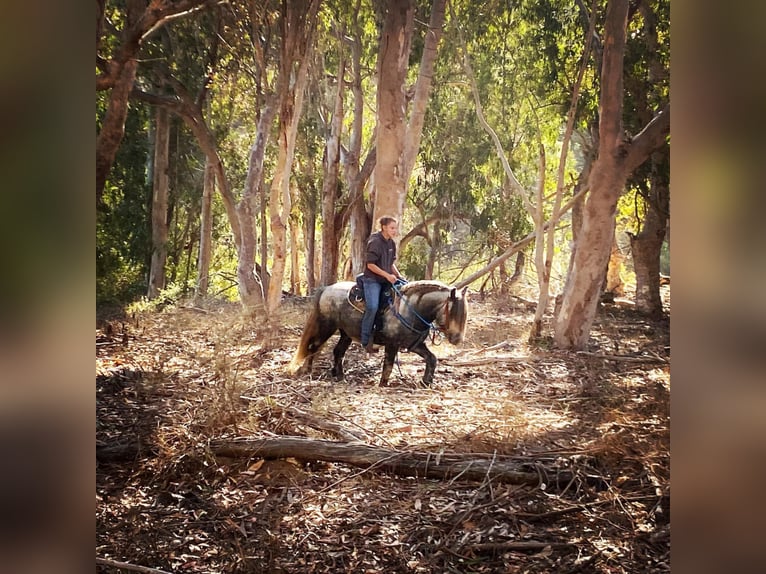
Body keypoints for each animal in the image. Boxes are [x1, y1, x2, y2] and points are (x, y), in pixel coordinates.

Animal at [286, 280, 468, 388]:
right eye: (453, 312)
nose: (457, 339)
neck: (409, 309)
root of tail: (327, 288)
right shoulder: (392, 344)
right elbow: (388, 366)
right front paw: (382, 384)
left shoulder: (415, 345)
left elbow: (432, 358)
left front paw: (426, 382)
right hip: (327, 327)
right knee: (314, 346)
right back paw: (308, 371)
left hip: (346, 333)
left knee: (338, 352)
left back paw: (340, 376)